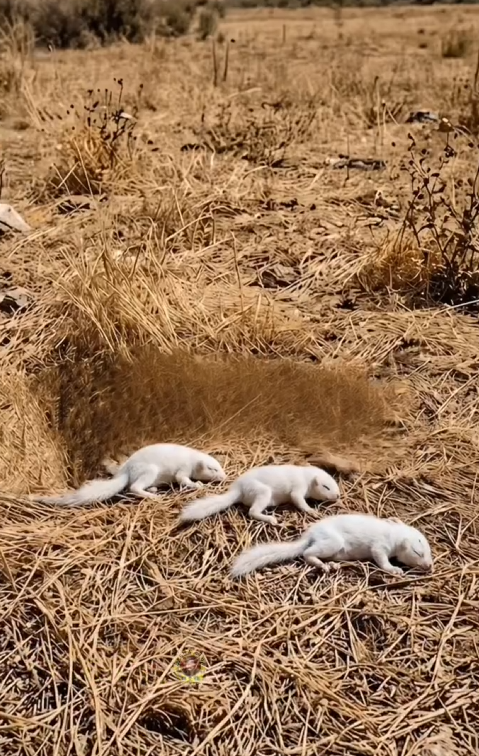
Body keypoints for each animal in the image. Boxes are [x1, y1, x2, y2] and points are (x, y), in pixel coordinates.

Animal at [34, 443, 226, 506]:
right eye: (213, 469)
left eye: (220, 467)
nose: (224, 476)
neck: (193, 458)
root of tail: (124, 470)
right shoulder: (183, 470)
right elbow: (182, 479)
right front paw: (197, 484)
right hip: (150, 471)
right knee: (133, 487)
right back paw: (152, 495)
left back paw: (153, 490)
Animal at [179, 464, 340, 526]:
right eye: (326, 487)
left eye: (335, 484)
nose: (338, 496)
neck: (306, 476)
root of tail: (237, 489)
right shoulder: (298, 489)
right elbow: (299, 500)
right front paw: (312, 511)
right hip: (263, 492)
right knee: (252, 512)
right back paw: (271, 519)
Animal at [231, 513, 433, 577]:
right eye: (418, 552)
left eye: (429, 551)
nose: (430, 566)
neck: (395, 534)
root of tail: (309, 535)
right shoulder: (379, 547)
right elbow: (382, 560)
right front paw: (395, 570)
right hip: (333, 542)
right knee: (307, 553)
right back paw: (323, 566)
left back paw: (333, 565)